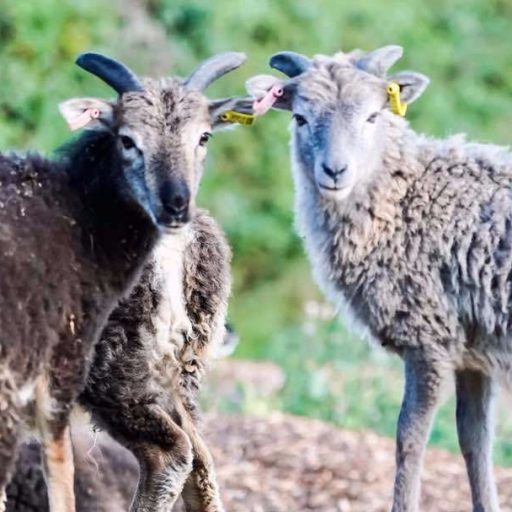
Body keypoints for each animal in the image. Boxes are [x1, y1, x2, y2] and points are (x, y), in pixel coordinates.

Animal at [0, 50, 250, 512]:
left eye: (204, 137)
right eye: (128, 140)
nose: (175, 203)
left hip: (116, 365)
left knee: (170, 452)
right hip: (172, 368)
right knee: (199, 457)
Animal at [246, 45, 512, 512]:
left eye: (373, 116)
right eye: (300, 118)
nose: (334, 171)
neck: (407, 198)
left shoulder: (428, 339)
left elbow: (409, 439)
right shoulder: (472, 350)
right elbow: (475, 441)